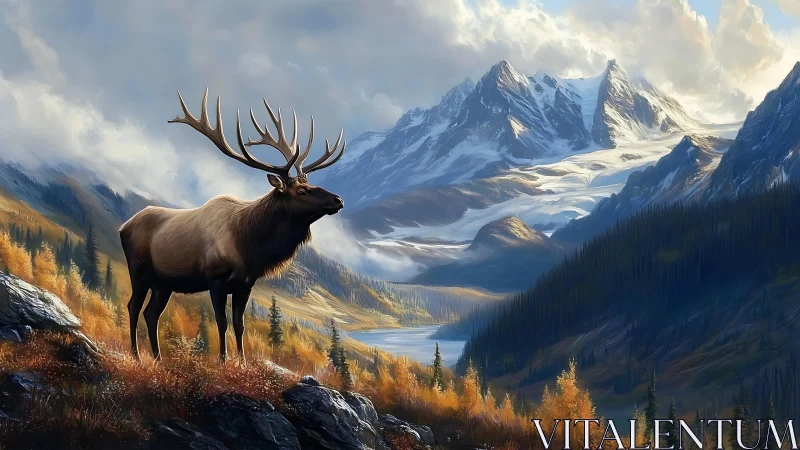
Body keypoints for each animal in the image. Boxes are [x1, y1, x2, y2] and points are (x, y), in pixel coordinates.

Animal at [119, 89, 345, 364]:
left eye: (309, 184)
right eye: (301, 191)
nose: (338, 199)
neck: (249, 246)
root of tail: (123, 226)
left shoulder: (245, 284)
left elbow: (240, 325)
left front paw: (243, 362)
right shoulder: (215, 279)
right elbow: (221, 322)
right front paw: (222, 361)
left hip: (164, 283)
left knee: (152, 313)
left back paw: (158, 358)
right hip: (139, 270)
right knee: (133, 307)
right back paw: (136, 355)